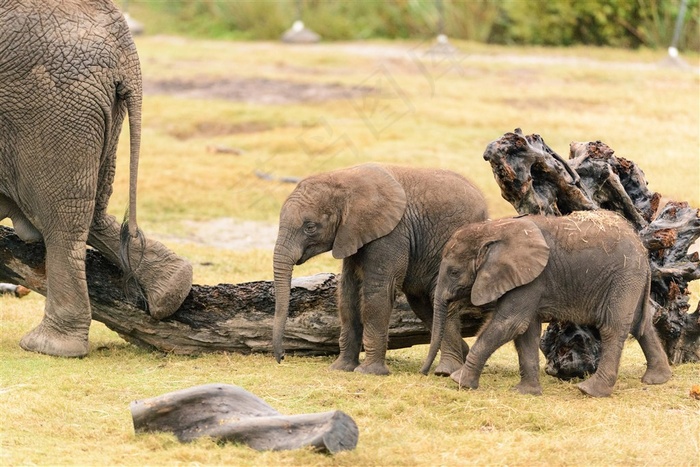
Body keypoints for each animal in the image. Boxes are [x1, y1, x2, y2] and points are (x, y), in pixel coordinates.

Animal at [0, 0, 191, 358]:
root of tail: (124, 48)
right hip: (95, 109)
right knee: (91, 209)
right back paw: (173, 289)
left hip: (50, 105)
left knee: (61, 219)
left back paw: (50, 346)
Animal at [270, 164, 490, 376]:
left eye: (310, 227)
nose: (282, 357)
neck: (344, 179)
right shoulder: (352, 234)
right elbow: (348, 293)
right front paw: (341, 368)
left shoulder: (392, 233)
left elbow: (378, 291)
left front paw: (369, 372)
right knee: (423, 305)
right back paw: (462, 356)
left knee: (441, 301)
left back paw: (446, 371)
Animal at [422, 212, 672, 398]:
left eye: (454, 272)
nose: (425, 373)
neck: (494, 229)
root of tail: (643, 250)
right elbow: (525, 331)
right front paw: (525, 392)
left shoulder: (531, 278)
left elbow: (510, 324)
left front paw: (460, 381)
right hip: (630, 280)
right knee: (641, 324)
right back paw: (657, 379)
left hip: (623, 278)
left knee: (613, 328)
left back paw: (589, 391)